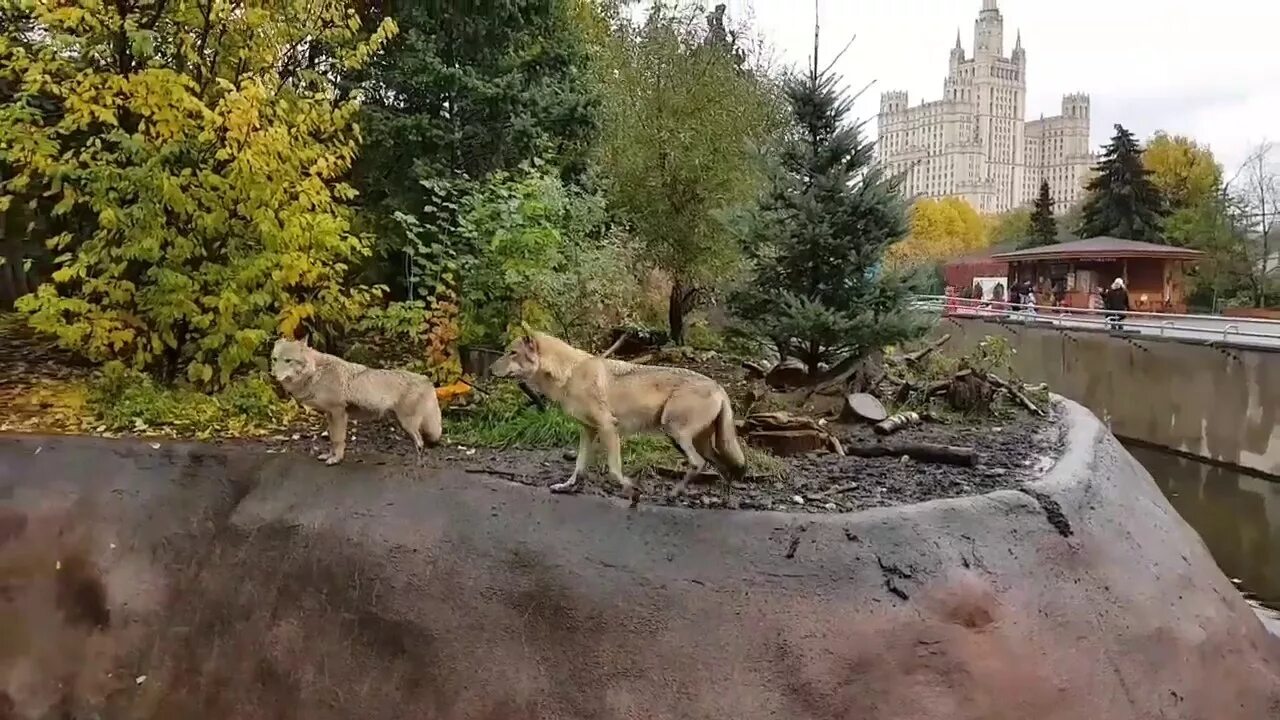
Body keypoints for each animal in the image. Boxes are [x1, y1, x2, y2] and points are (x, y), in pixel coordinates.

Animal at [267, 338, 442, 461]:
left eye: (288, 360)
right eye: (275, 359)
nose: (273, 375)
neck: (317, 372)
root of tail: (427, 380)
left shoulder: (338, 413)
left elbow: (338, 440)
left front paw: (336, 459)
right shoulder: (330, 414)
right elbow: (333, 439)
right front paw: (330, 455)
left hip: (407, 425)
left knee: (421, 443)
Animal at [491, 326, 747, 499]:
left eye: (511, 353)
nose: (491, 369)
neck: (569, 373)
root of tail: (719, 386)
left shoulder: (607, 427)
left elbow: (614, 471)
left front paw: (631, 489)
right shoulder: (587, 430)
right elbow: (579, 467)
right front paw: (567, 487)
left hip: (675, 433)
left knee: (698, 464)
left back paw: (674, 493)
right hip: (697, 441)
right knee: (723, 466)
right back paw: (724, 498)